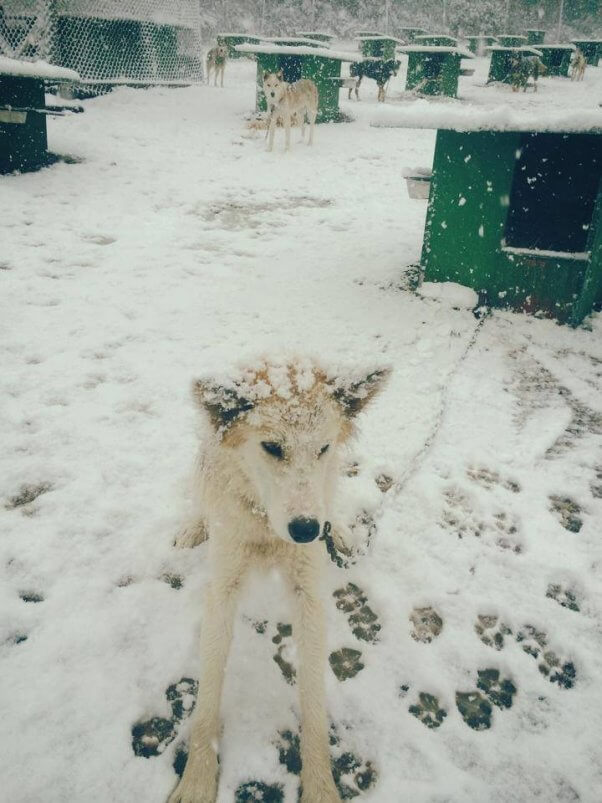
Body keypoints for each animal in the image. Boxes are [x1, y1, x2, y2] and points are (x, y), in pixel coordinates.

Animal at [168, 358, 390, 803]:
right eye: (271, 447)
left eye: (321, 448)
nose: (306, 530)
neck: (266, 523)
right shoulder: (223, 588)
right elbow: (208, 690)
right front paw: (197, 778)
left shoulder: (308, 594)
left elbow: (313, 697)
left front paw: (320, 785)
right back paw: (193, 526)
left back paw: (340, 532)